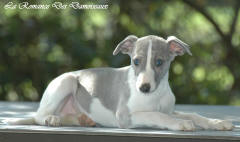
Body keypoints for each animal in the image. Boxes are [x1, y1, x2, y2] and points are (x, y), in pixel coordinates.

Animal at [7, 35, 234, 131]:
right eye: (135, 61)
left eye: (159, 62)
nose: (143, 88)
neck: (156, 95)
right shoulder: (125, 116)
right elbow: (156, 115)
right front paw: (179, 123)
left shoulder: (169, 109)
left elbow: (193, 114)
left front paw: (217, 122)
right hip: (67, 82)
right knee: (39, 116)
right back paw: (51, 119)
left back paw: (83, 120)